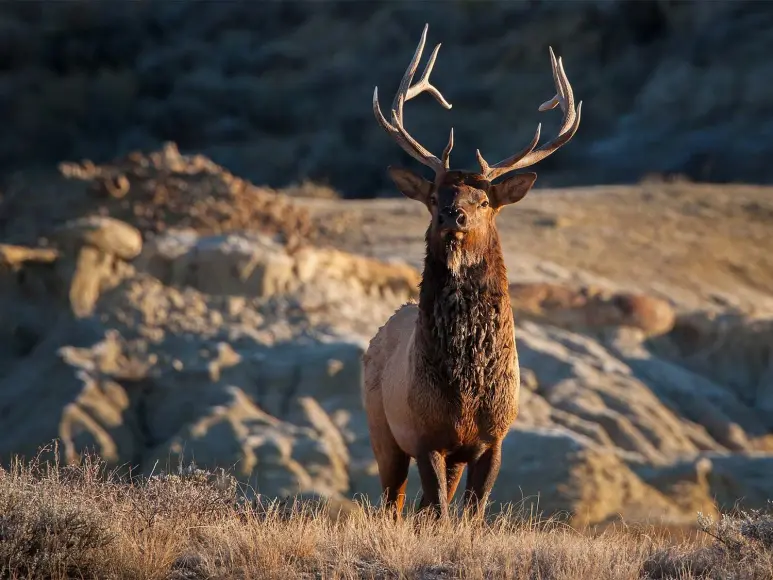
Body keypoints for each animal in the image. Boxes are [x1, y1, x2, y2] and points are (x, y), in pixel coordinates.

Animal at [362, 24, 580, 520]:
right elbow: (441, 512)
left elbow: (472, 514)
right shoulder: (425, 434)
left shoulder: (492, 437)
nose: (452, 215)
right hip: (382, 429)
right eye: (433, 196)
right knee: (394, 501)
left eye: (483, 201)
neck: (466, 389)